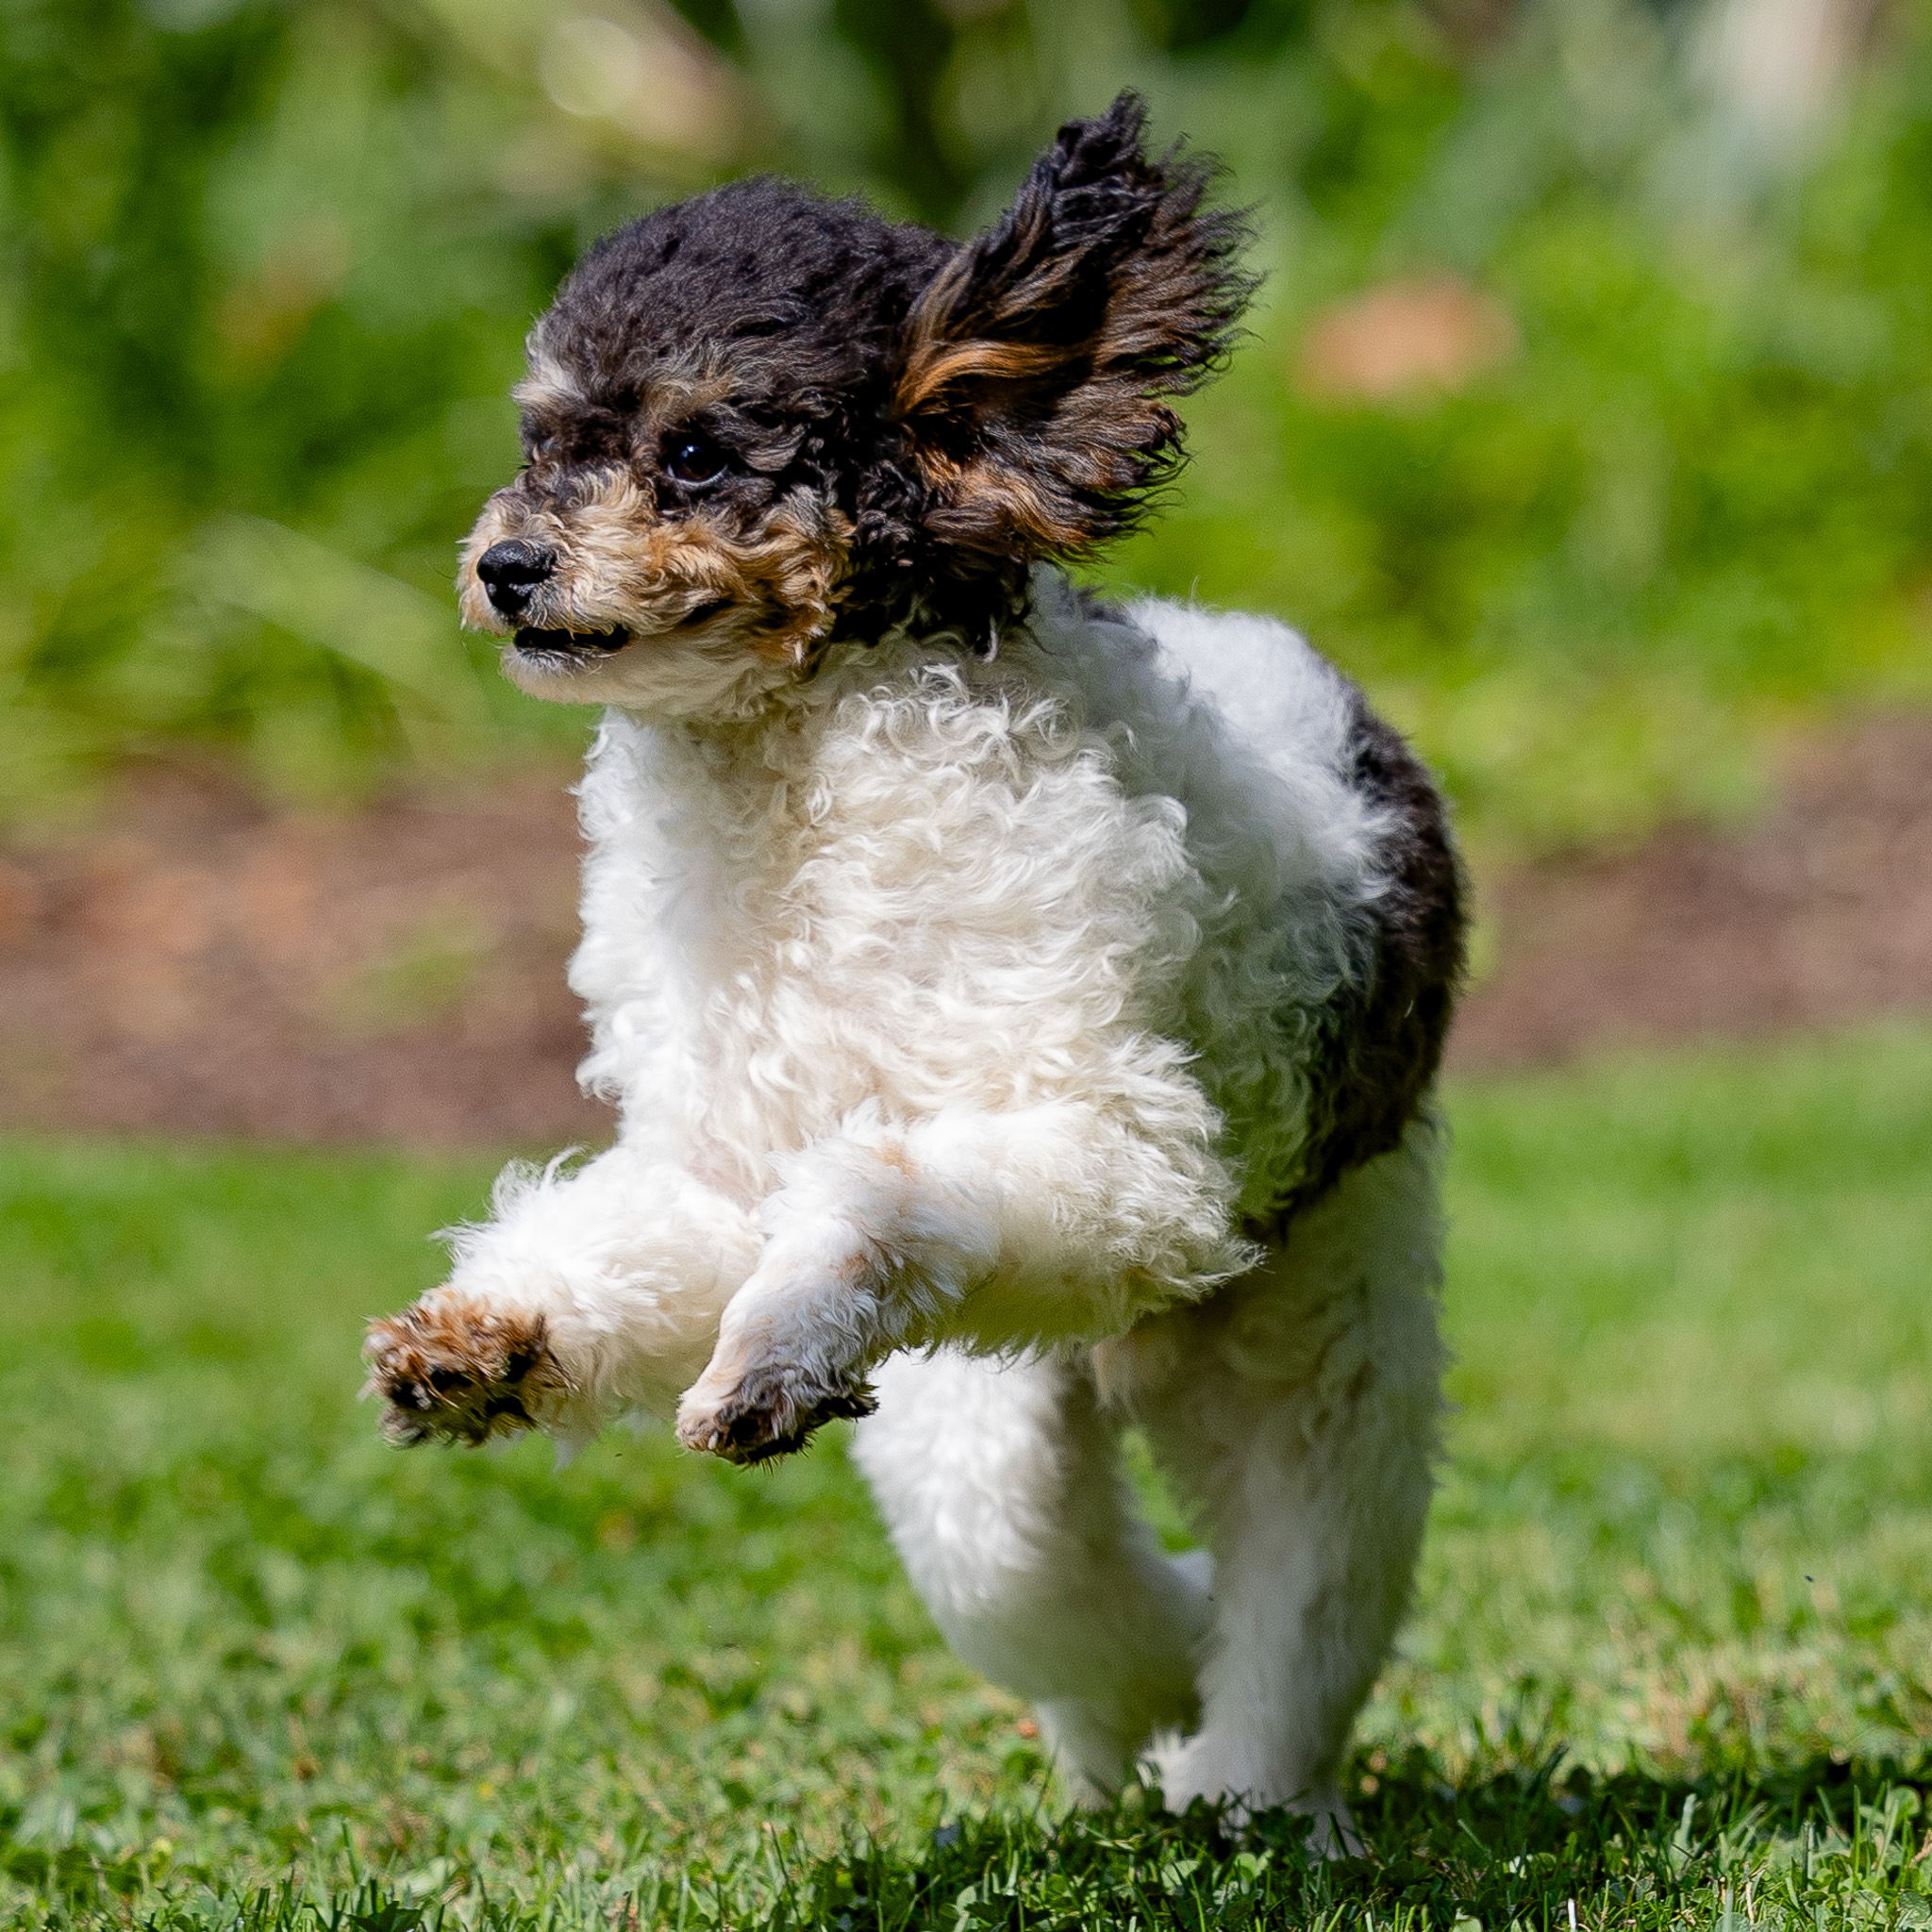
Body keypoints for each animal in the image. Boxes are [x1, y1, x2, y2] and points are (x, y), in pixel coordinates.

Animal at [365, 91, 1460, 1831]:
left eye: (693, 449)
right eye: (540, 440)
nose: (507, 567)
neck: (796, 780)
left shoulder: (1124, 1157)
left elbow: (881, 1202)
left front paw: (772, 1351)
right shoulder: (734, 1153)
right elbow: (657, 1236)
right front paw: (492, 1337)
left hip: (1319, 1309)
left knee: (1305, 1572)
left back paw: (1237, 1771)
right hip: (982, 1413)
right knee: (1023, 1562)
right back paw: (1135, 1710)